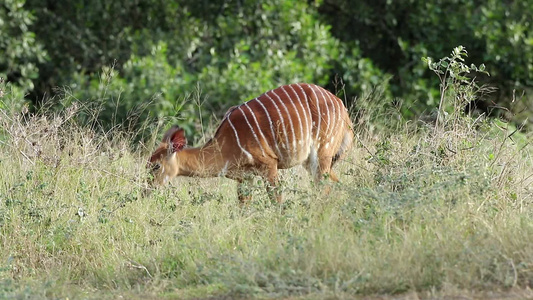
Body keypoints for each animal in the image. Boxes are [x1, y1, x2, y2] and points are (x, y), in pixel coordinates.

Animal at [148, 83, 352, 203]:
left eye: (156, 166)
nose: (146, 191)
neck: (226, 145)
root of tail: (342, 106)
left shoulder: (269, 165)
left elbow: (277, 201)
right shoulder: (244, 177)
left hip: (323, 153)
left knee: (323, 188)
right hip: (312, 162)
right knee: (335, 183)